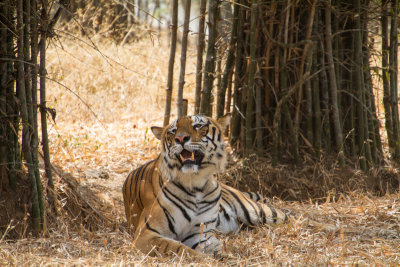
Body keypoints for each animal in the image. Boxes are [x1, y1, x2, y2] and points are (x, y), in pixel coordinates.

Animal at [122, 114, 288, 258]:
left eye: (198, 126)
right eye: (173, 131)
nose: (180, 138)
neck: (196, 184)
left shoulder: (200, 234)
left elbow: (217, 248)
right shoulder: (146, 234)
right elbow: (178, 248)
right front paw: (204, 259)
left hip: (257, 212)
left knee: (286, 216)